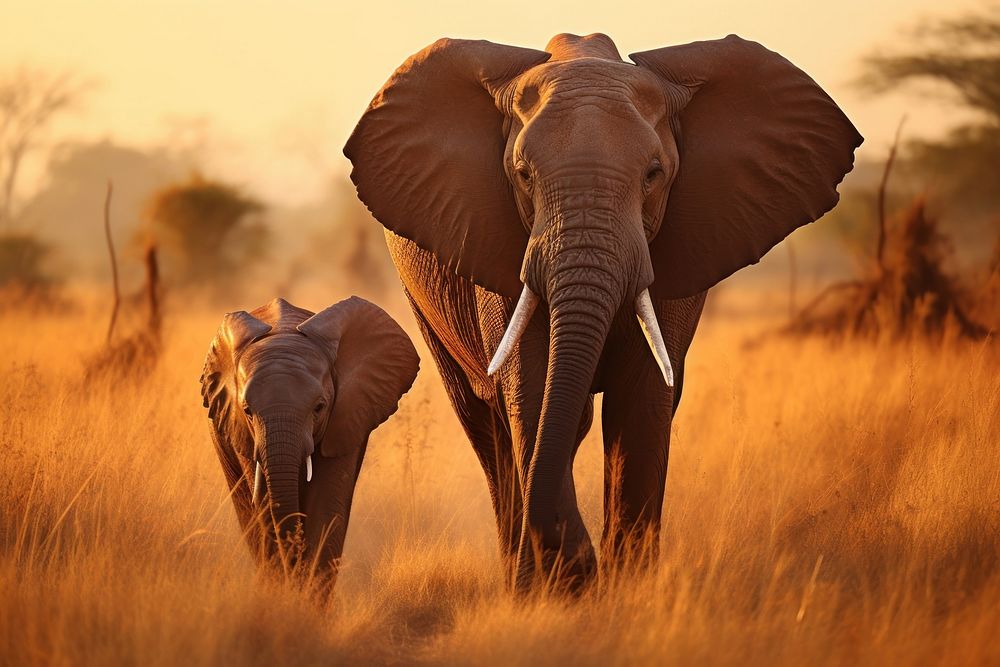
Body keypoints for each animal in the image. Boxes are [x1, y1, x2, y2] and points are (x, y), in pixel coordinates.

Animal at [199, 298, 418, 596]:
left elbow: (325, 505)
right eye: (247, 411)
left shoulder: (346, 417)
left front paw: (308, 601)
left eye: (319, 407)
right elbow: (265, 509)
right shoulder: (241, 431)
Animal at [344, 34, 860, 592]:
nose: (582, 564)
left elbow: (643, 397)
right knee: (487, 426)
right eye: (523, 176)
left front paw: (625, 590)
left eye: (654, 175)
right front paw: (565, 583)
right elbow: (531, 390)